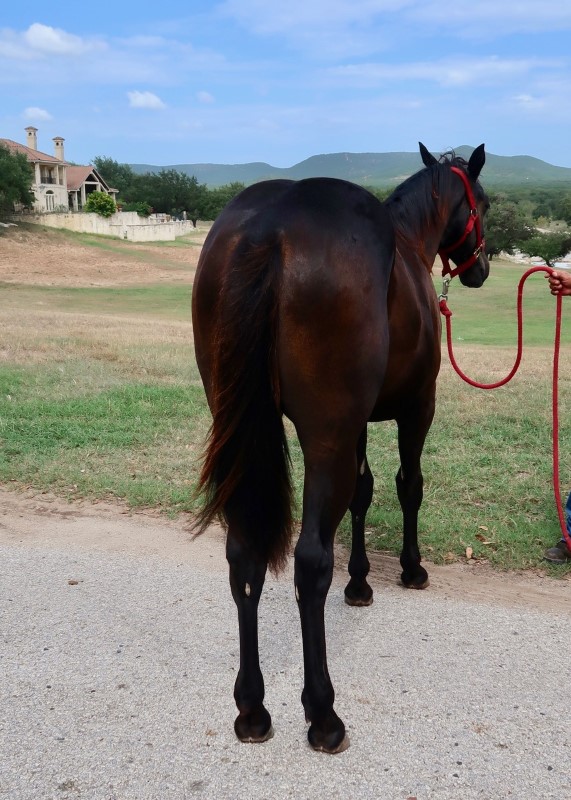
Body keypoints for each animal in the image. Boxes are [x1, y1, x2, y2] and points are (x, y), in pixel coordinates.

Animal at [192, 142, 492, 752]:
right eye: (485, 202)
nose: (482, 266)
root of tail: (267, 227)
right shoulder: (415, 409)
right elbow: (406, 486)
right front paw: (410, 568)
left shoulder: (360, 424)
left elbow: (363, 492)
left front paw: (360, 581)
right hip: (327, 435)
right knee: (310, 562)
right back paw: (322, 713)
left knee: (243, 553)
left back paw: (252, 707)